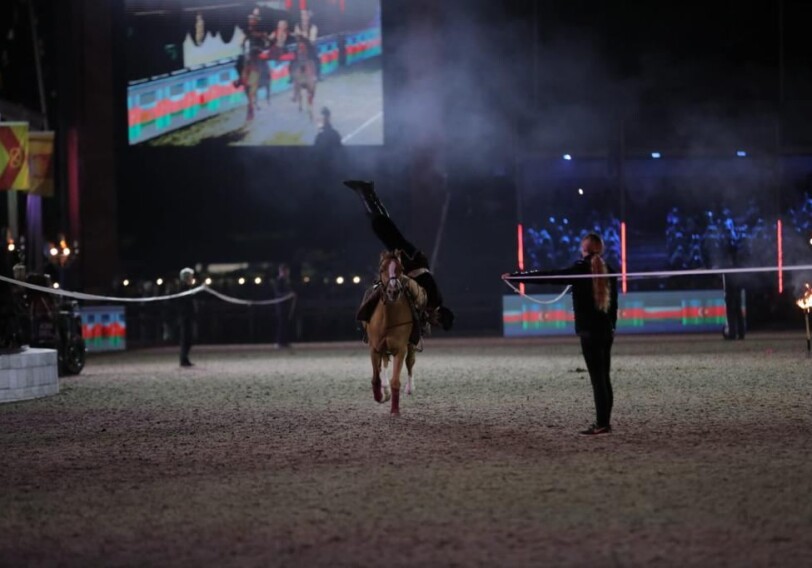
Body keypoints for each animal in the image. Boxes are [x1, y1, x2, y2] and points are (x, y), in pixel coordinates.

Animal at [364, 251, 426, 414]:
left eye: (401, 268)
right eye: (382, 269)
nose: (393, 291)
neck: (387, 319)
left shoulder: (401, 348)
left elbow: (396, 381)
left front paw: (395, 410)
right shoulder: (374, 347)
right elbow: (376, 377)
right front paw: (380, 395)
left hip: (411, 345)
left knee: (410, 362)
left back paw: (410, 387)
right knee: (385, 363)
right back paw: (385, 390)